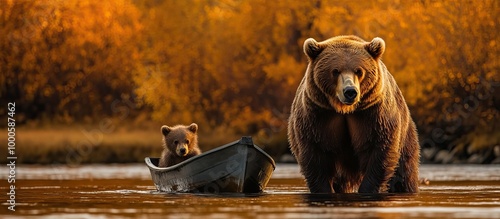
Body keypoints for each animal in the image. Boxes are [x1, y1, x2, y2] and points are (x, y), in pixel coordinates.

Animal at [288, 35, 420, 193]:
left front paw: (367, 189)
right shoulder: (317, 115)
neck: (344, 110)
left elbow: (380, 151)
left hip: (406, 137)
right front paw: (324, 189)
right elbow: (315, 155)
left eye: (359, 71)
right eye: (335, 71)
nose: (350, 91)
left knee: (404, 173)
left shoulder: (373, 114)